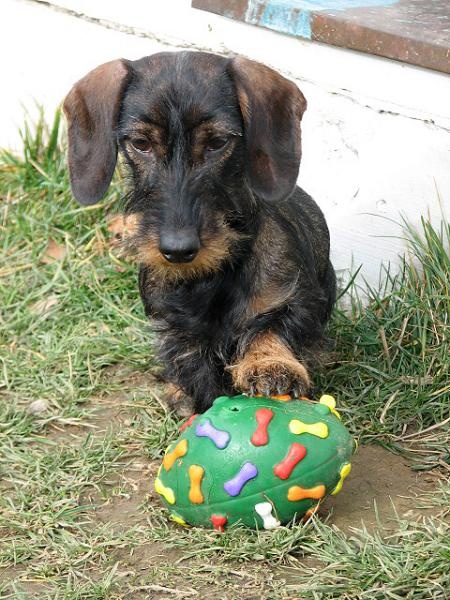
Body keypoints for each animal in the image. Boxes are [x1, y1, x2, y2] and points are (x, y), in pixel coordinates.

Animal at [65, 50, 336, 412]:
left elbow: (271, 327)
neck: (209, 278)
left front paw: (270, 364)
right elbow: (196, 373)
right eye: (140, 143)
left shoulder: (298, 300)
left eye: (218, 142)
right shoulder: (178, 333)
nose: (178, 250)